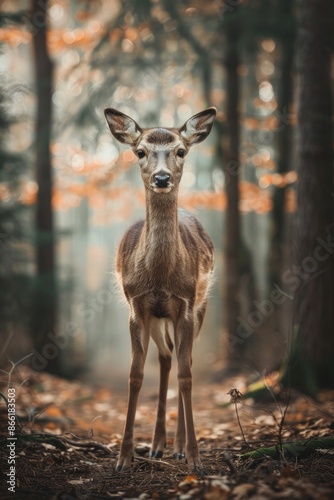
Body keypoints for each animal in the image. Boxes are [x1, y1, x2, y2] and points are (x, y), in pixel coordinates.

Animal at [103, 104, 217, 468]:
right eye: (140, 151)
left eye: (181, 151)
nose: (162, 178)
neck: (159, 277)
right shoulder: (137, 306)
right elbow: (136, 375)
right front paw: (124, 456)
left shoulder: (185, 305)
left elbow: (187, 376)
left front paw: (194, 455)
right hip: (156, 316)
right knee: (166, 357)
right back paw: (157, 444)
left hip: (200, 306)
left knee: (182, 360)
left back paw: (177, 446)